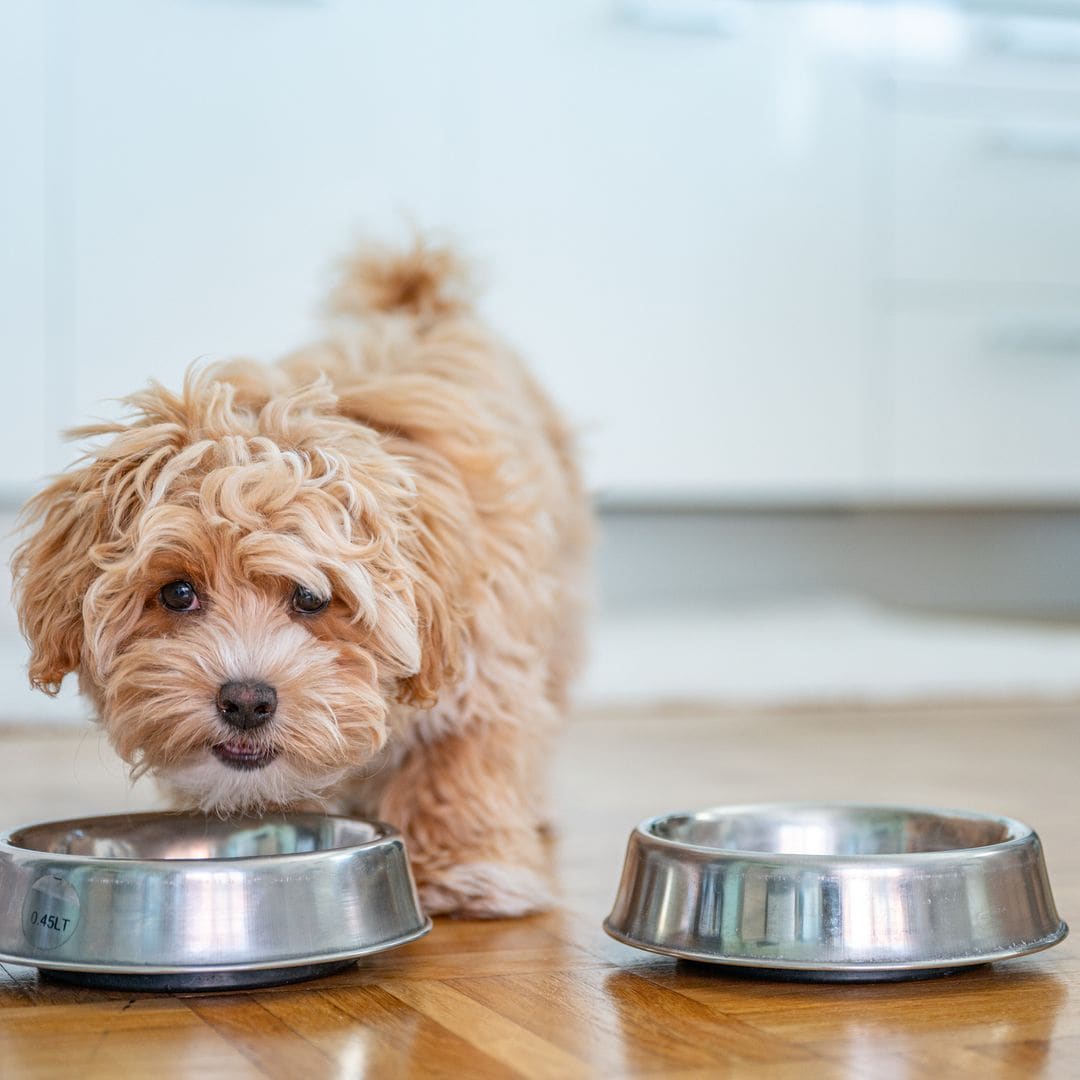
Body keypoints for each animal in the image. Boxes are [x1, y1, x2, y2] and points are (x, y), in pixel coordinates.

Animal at [10, 243, 591, 920]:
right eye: (178, 593)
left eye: (311, 598)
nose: (246, 701)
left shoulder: (484, 661)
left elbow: (459, 757)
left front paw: (465, 868)